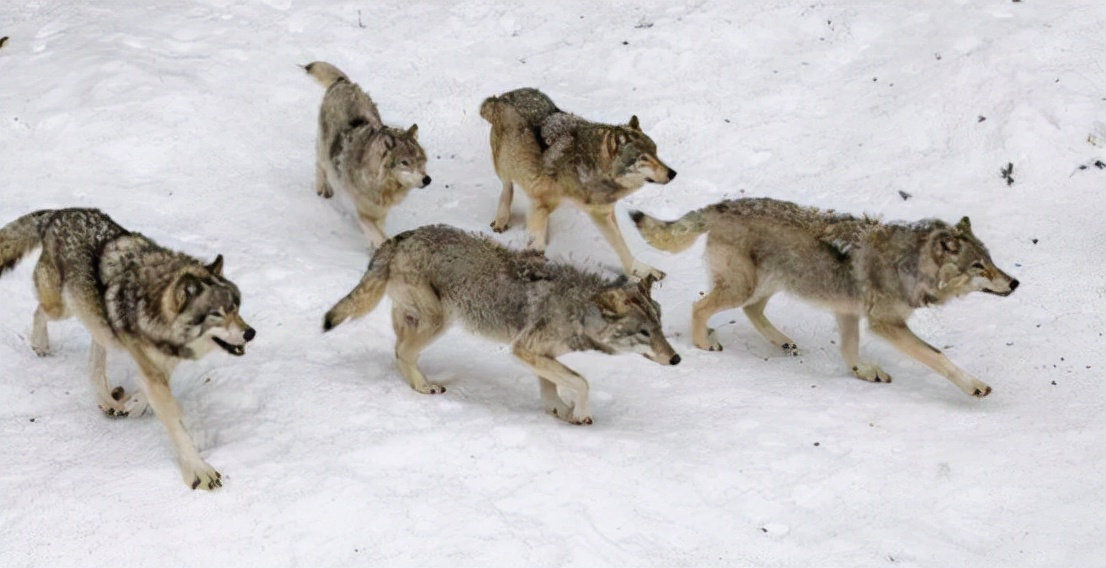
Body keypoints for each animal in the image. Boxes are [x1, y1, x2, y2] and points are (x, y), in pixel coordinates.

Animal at [303, 61, 431, 245]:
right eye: (405, 162)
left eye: (421, 160)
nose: (427, 179)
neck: (380, 184)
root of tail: (344, 83)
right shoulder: (364, 214)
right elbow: (380, 238)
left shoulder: (380, 213)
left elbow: (380, 232)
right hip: (324, 149)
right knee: (321, 165)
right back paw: (323, 189)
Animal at [322, 223, 681, 422]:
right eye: (644, 333)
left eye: (660, 329)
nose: (676, 358)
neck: (578, 310)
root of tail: (399, 237)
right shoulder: (525, 349)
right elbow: (582, 382)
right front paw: (579, 412)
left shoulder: (541, 355)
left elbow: (553, 387)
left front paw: (559, 411)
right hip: (439, 321)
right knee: (402, 352)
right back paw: (424, 387)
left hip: (420, 319)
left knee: (397, 349)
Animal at [482, 87, 672, 279]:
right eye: (644, 158)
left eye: (656, 152)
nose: (673, 173)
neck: (591, 169)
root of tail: (503, 95)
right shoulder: (543, 203)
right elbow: (538, 244)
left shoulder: (603, 211)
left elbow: (622, 246)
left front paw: (641, 271)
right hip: (506, 162)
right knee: (507, 186)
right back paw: (502, 219)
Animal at [632, 196, 1017, 395]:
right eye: (979, 267)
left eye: (991, 261)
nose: (1014, 283)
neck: (910, 265)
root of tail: (719, 205)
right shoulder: (885, 324)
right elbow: (938, 356)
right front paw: (975, 386)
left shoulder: (848, 312)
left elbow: (850, 351)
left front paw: (864, 372)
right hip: (743, 287)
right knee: (700, 306)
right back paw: (704, 343)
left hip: (770, 284)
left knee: (753, 311)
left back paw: (783, 341)